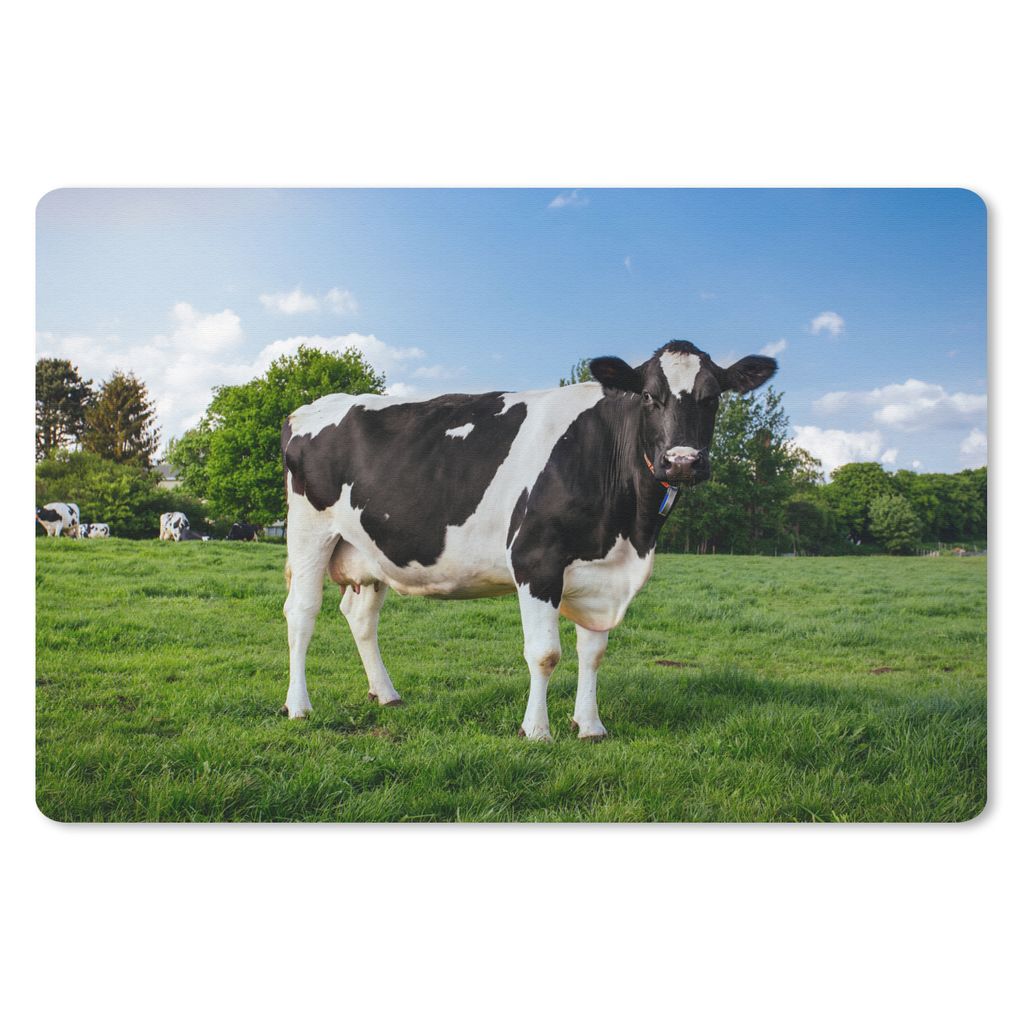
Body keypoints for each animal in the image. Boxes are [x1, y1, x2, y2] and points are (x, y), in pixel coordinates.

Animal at [280, 339, 776, 739]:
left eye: (713, 397)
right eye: (650, 396)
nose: (682, 462)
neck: (629, 534)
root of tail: (310, 407)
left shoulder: (599, 573)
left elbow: (593, 653)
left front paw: (590, 726)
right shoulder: (536, 559)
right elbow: (545, 654)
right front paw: (536, 731)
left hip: (369, 550)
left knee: (360, 617)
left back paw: (386, 693)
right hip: (309, 531)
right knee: (302, 611)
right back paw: (299, 706)